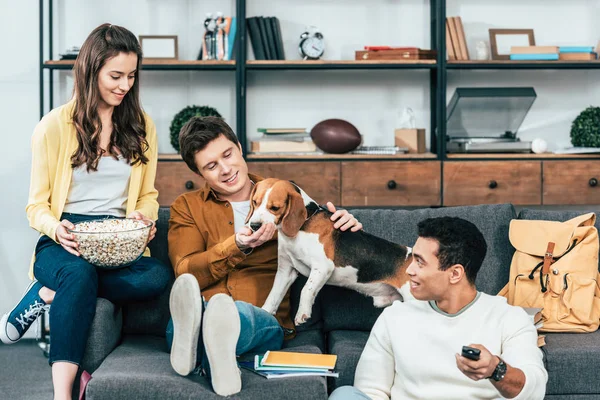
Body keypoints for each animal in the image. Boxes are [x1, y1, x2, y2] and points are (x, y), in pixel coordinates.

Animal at [246, 178, 410, 324]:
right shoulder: (286, 270)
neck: (302, 226)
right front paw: (264, 313)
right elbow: (273, 295)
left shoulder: (322, 267)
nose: (254, 226)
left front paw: (302, 313)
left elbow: (306, 289)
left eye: (274, 208)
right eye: (255, 202)